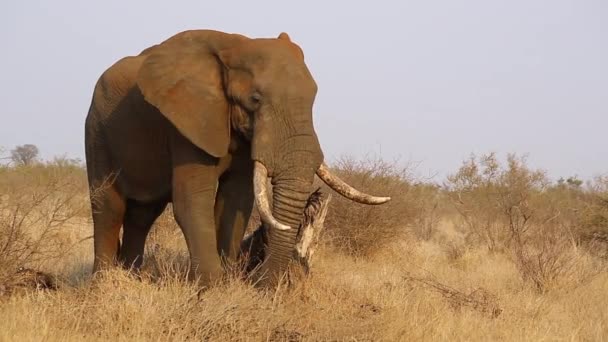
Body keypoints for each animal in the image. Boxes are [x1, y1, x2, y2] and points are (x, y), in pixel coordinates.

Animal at [84, 29, 390, 288]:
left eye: (313, 98)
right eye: (255, 98)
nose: (262, 281)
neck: (234, 46)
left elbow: (236, 200)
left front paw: (228, 283)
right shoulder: (186, 123)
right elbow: (192, 202)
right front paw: (212, 291)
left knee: (143, 214)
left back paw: (131, 278)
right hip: (97, 130)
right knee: (109, 208)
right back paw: (104, 286)